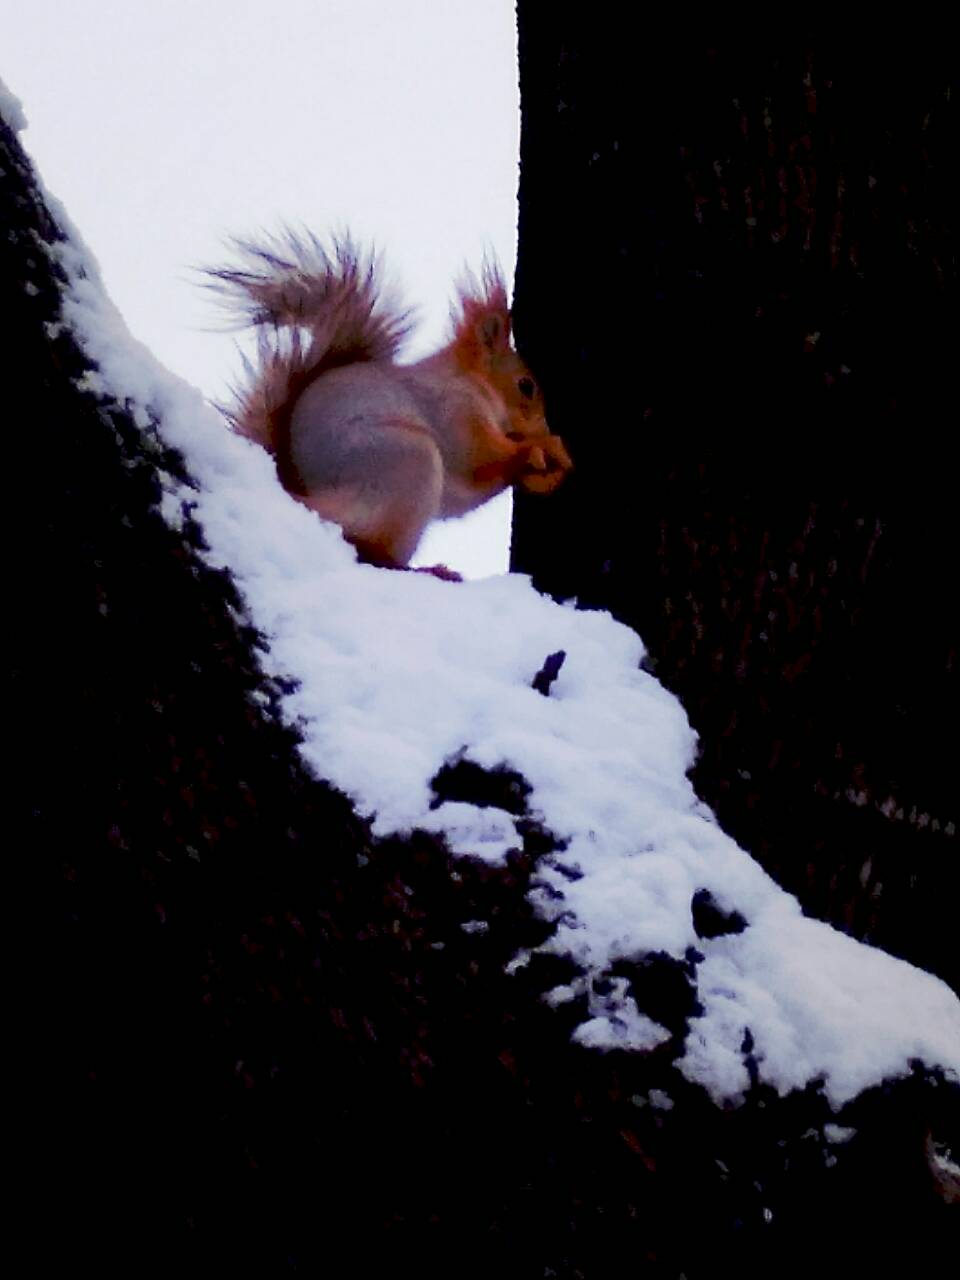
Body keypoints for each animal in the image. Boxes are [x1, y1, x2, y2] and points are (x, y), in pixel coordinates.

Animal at [207, 232, 570, 573]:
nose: (544, 427)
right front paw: (543, 447)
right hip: (406, 462)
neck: (471, 384)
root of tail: (302, 495)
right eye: (526, 386)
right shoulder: (452, 412)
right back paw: (426, 569)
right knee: (374, 549)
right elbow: (477, 462)